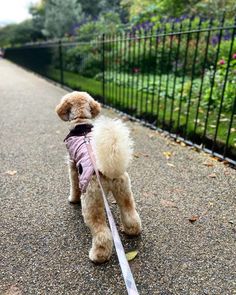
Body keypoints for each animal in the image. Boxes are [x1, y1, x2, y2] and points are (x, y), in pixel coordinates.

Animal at [55, 92, 141, 264]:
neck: (81, 123)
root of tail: (106, 170)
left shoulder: (73, 165)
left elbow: (73, 185)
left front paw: (72, 199)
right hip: (124, 191)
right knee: (131, 214)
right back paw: (132, 231)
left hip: (91, 200)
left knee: (101, 232)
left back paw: (98, 256)